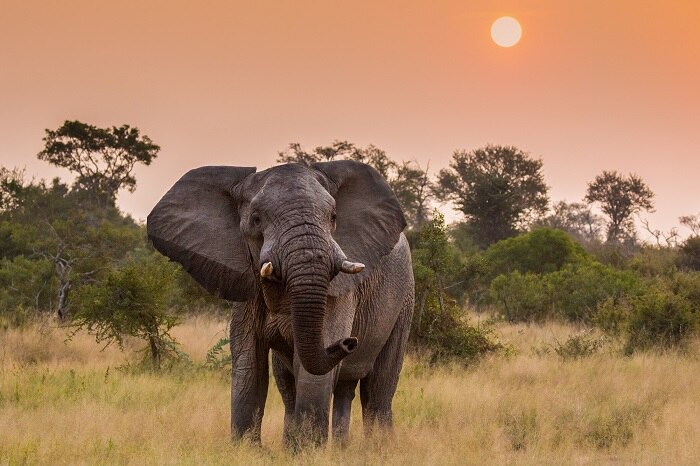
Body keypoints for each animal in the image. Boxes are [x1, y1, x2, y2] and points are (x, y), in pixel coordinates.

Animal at [145, 160, 412, 444]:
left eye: (333, 217)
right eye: (256, 219)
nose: (349, 341)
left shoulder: (338, 292)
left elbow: (313, 373)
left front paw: (309, 451)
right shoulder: (248, 285)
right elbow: (249, 363)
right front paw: (248, 449)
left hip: (404, 297)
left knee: (378, 388)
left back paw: (378, 446)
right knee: (302, 387)